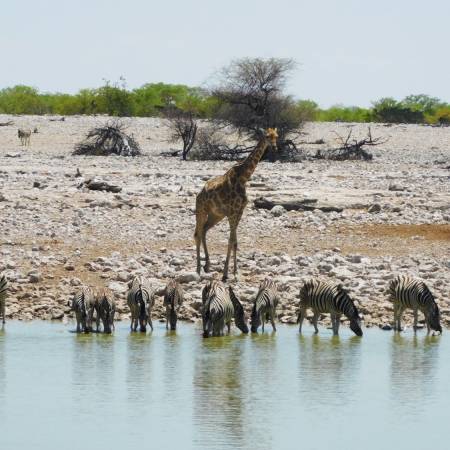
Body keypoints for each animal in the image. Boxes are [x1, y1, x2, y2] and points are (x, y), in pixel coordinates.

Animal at [194, 127, 278, 282]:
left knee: (204, 231)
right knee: (197, 233)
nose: (275, 147)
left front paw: (235, 272)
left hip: (216, 215)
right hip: (201, 210)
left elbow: (235, 242)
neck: (244, 178)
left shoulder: (239, 212)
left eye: (277, 136)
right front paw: (226, 273)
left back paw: (207, 265)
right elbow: (231, 240)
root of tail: (199, 194)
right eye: (267, 136)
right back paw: (197, 269)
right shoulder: (232, 213)